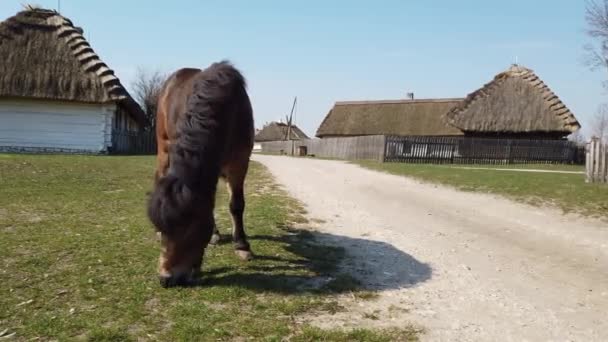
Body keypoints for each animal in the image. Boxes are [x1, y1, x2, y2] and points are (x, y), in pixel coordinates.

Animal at [148, 60, 255, 288]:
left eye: (189, 227)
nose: (165, 278)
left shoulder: (240, 162)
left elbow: (236, 205)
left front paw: (242, 246)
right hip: (163, 147)